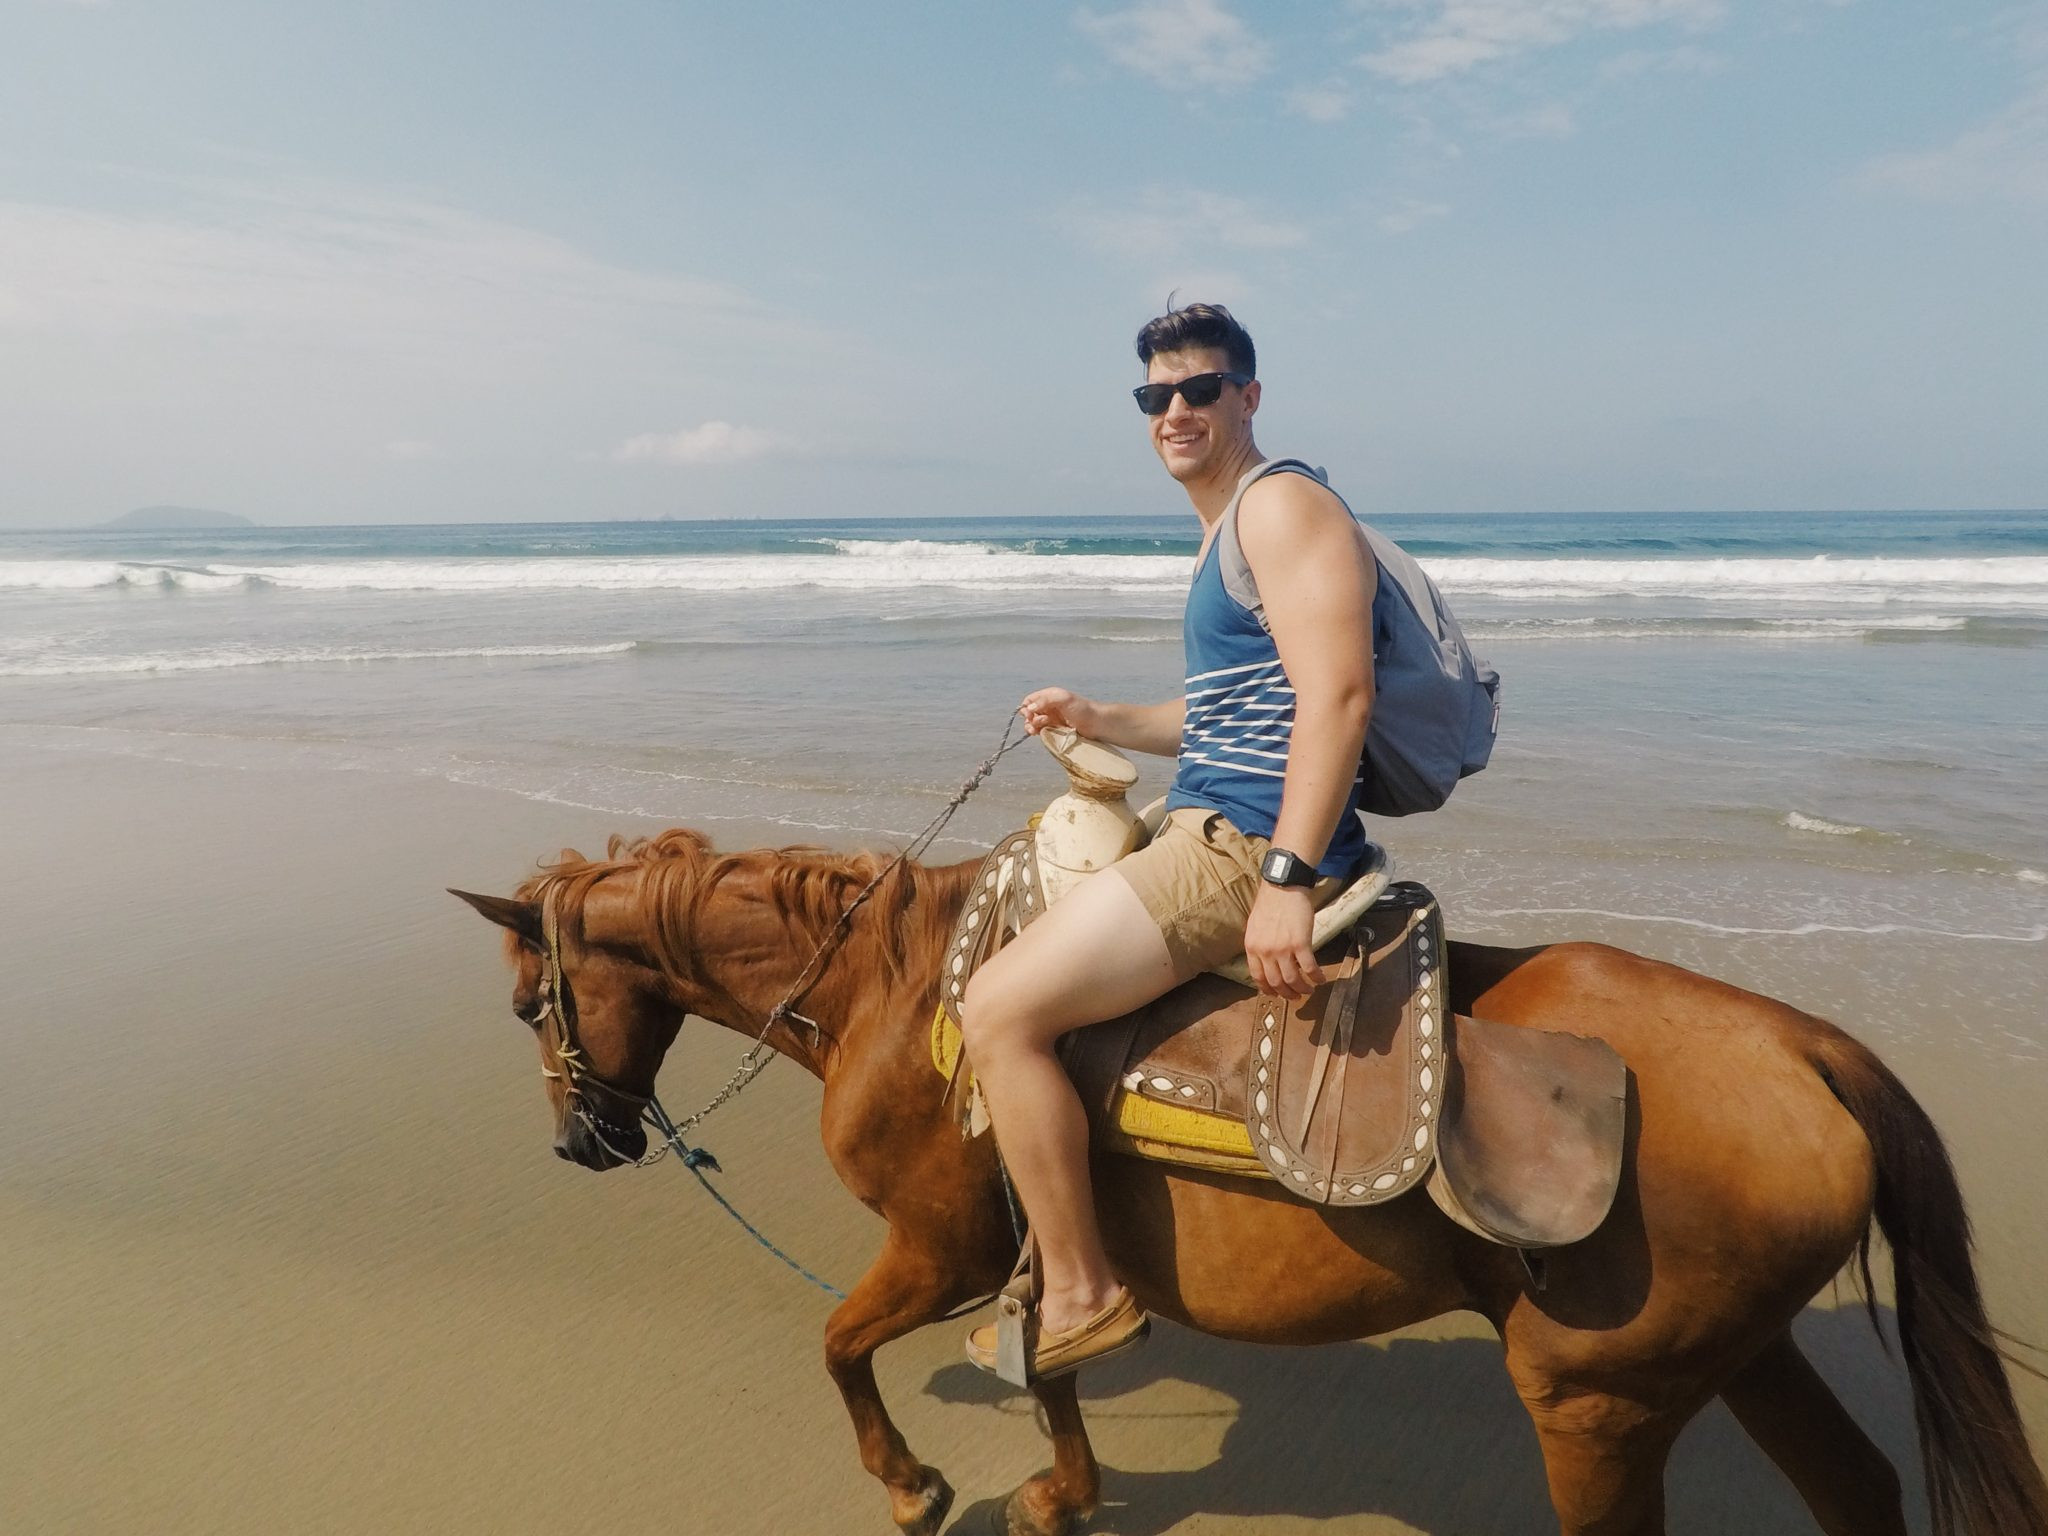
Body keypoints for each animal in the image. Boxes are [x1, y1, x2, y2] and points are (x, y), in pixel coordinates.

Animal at [456, 831, 2039, 1536]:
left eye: (530, 1001)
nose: (580, 1144)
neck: (890, 993)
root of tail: (1804, 1044)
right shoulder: (1032, 1253)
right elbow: (1056, 1364)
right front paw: (1061, 1491)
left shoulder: (937, 1249)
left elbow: (839, 1345)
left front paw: (911, 1485)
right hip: (1739, 1353)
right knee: (1855, 1490)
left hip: (1597, 1404)